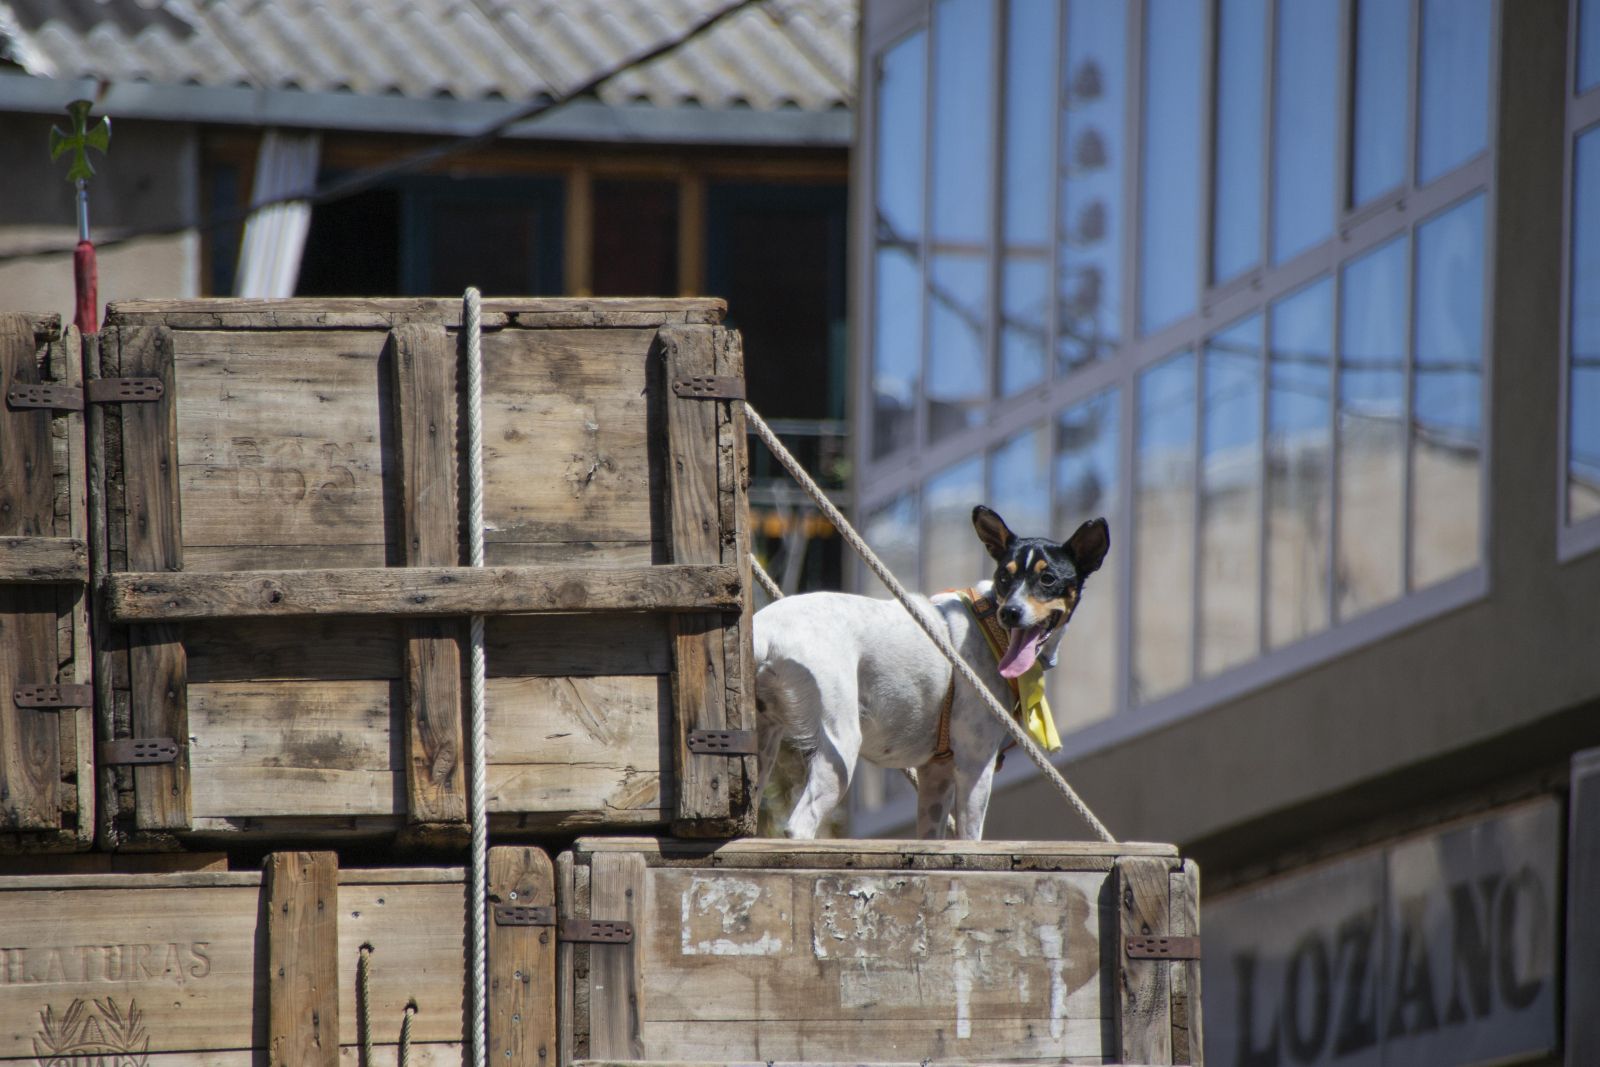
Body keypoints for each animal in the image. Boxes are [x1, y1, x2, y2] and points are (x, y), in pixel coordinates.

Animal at [752, 505, 1107, 838]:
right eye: (1004, 578)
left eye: (1048, 579)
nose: (1010, 612)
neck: (992, 629)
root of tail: (765, 627)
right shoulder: (974, 763)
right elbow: (970, 838)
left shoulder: (936, 774)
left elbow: (932, 838)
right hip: (841, 744)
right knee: (799, 824)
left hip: (764, 747)